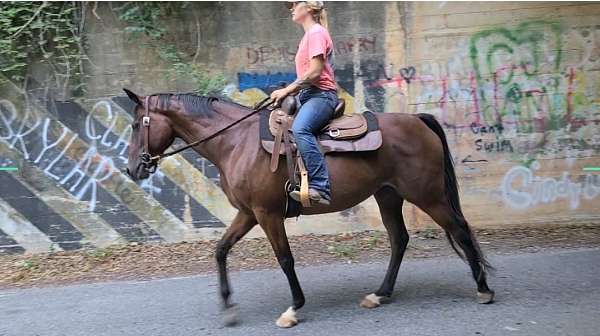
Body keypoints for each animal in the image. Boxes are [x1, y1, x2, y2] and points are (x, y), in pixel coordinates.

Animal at [124, 89, 494, 328]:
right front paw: (228, 307)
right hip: (388, 195)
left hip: (428, 195)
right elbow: (220, 250)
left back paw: (484, 289)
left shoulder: (267, 214)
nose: (132, 169)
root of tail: (418, 119)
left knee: (459, 230)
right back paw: (380, 294)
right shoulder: (248, 213)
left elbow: (285, 259)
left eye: (135, 125)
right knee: (399, 239)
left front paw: (293, 308)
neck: (236, 142)